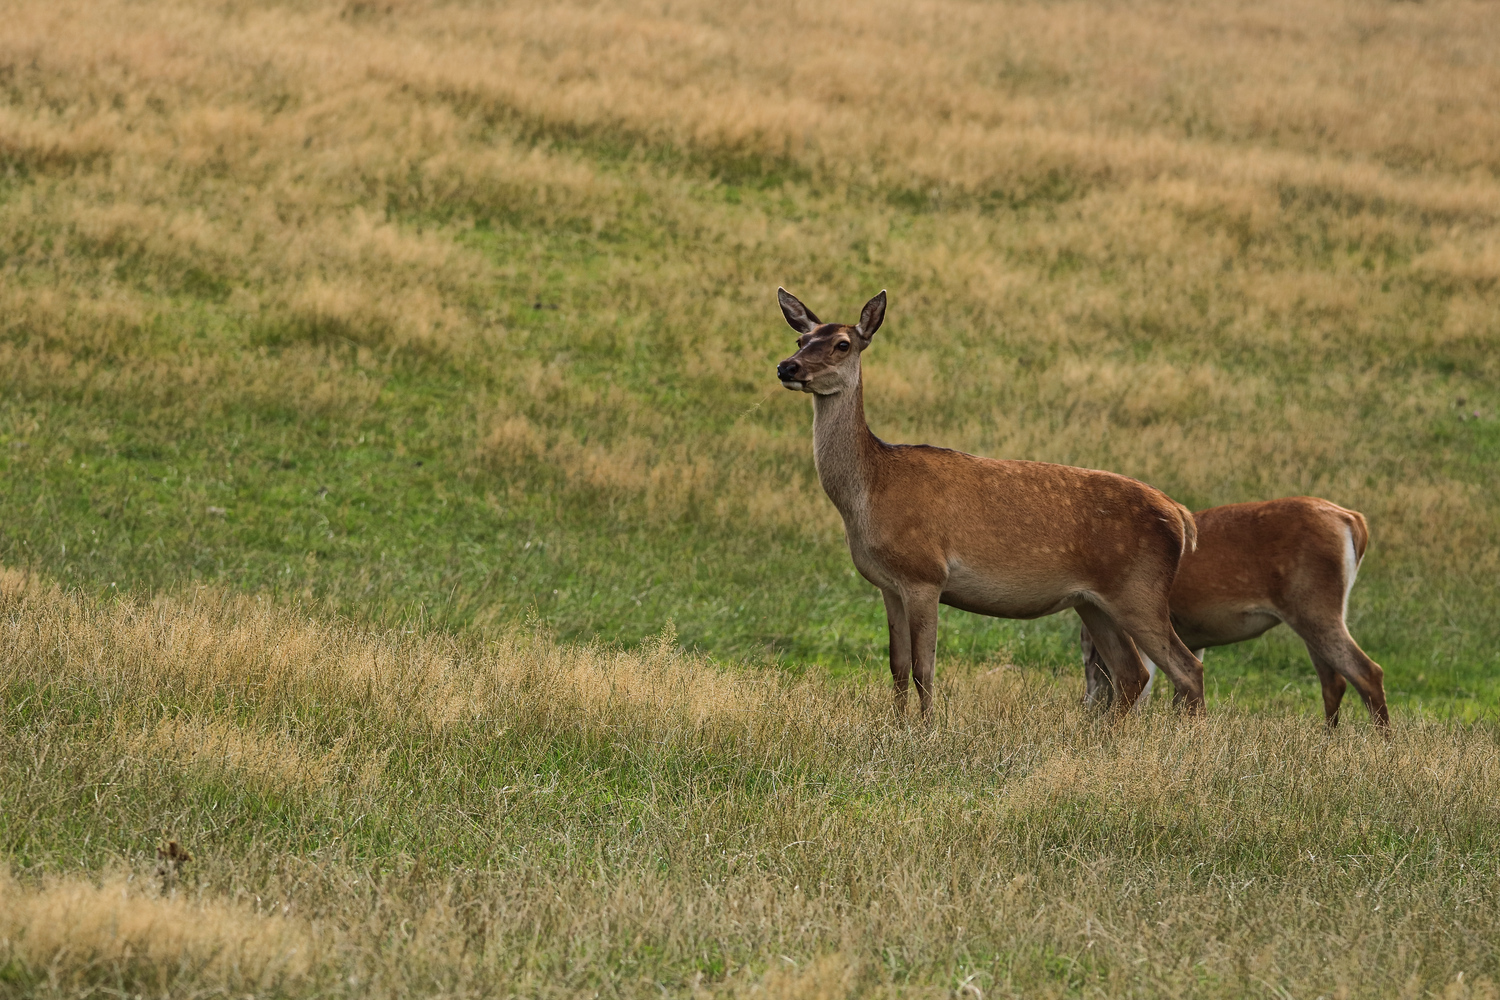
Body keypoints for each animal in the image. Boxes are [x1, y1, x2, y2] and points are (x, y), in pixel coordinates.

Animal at [774, 289, 1206, 719]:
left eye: (842, 344)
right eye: (801, 339)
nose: (787, 367)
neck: (871, 493)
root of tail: (1181, 517)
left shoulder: (925, 574)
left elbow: (923, 669)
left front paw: (926, 728)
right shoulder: (888, 584)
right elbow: (897, 667)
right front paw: (895, 725)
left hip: (1140, 589)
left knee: (1187, 667)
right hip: (1094, 602)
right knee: (1132, 673)